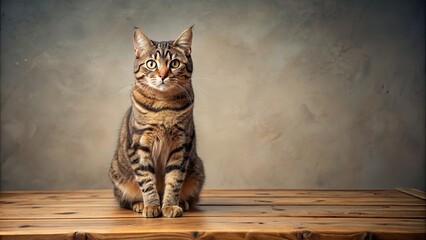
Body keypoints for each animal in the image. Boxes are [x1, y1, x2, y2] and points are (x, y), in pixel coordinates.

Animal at [108, 26, 205, 218]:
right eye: (151, 64)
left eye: (174, 63)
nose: (162, 75)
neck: (163, 105)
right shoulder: (139, 144)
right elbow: (146, 180)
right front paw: (152, 206)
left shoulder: (181, 145)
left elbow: (174, 180)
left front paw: (169, 205)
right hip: (117, 175)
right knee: (125, 200)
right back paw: (139, 204)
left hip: (197, 171)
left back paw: (181, 202)